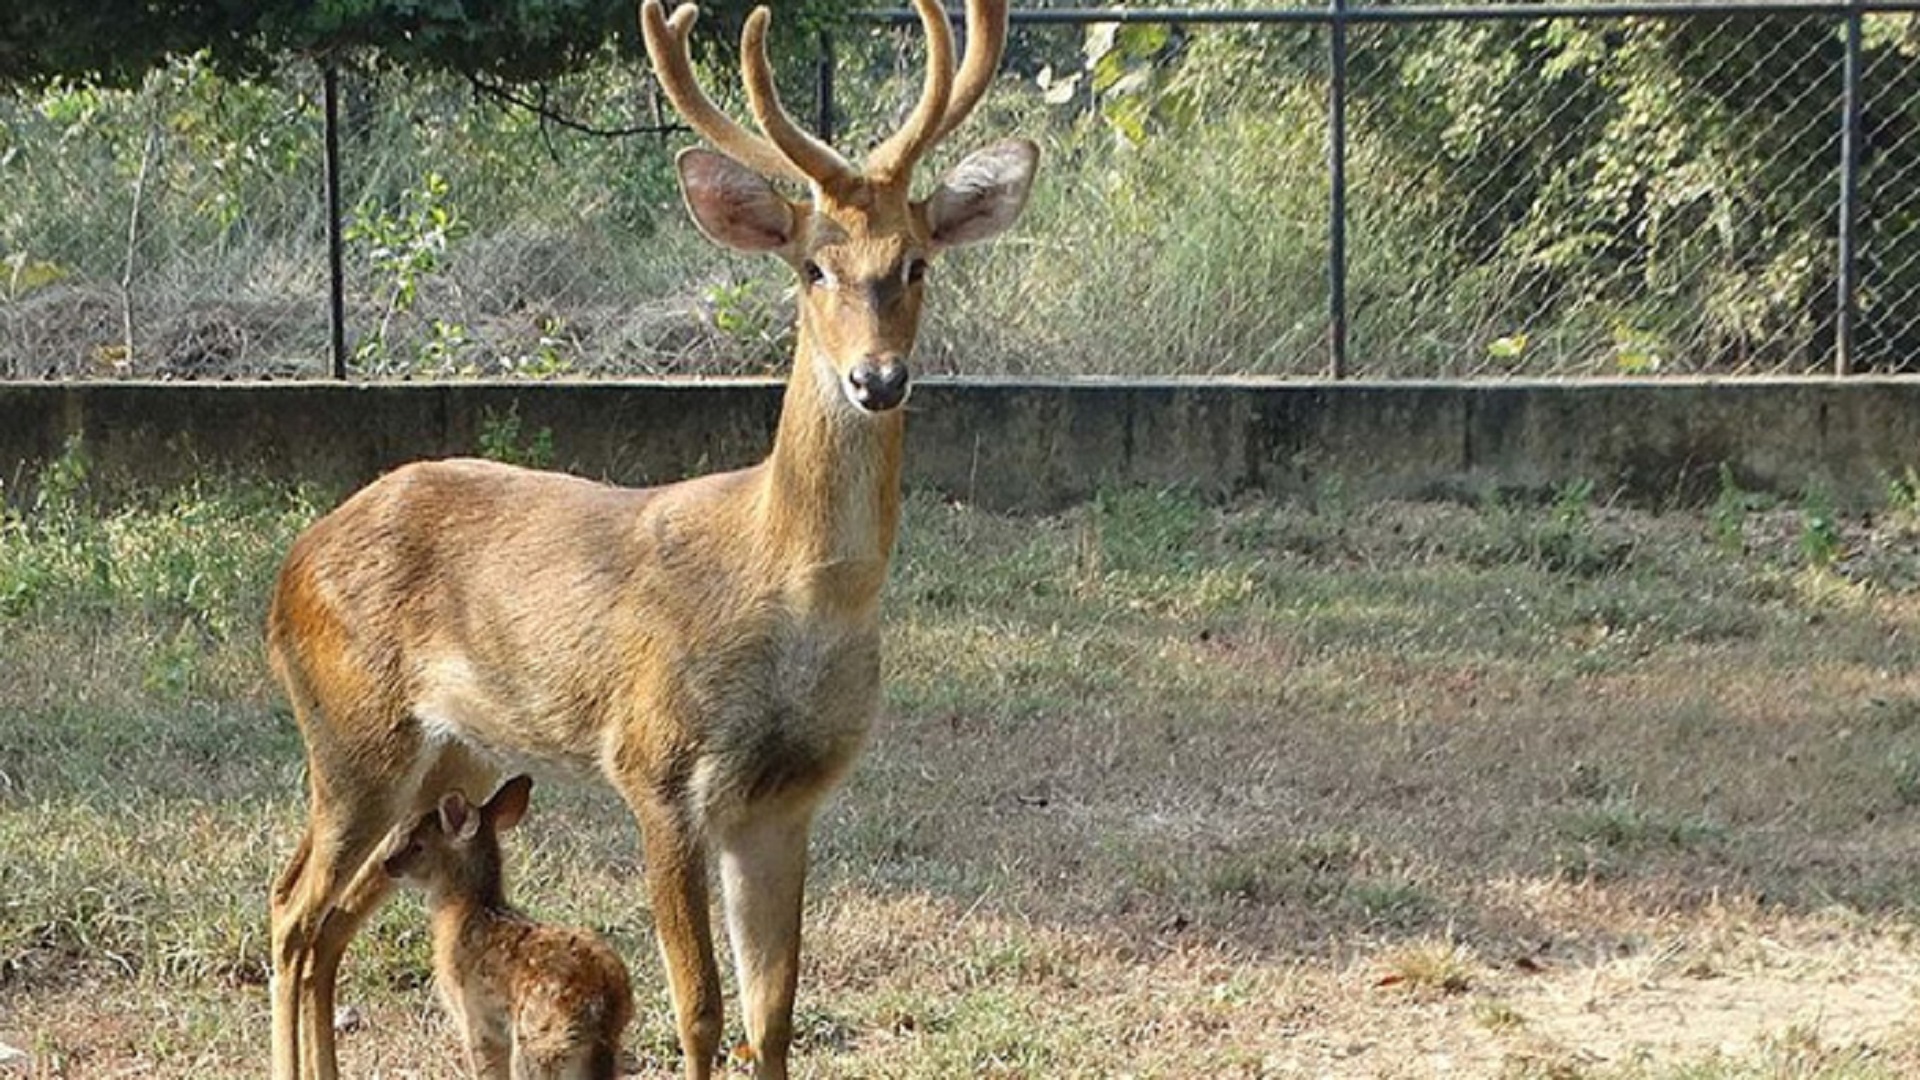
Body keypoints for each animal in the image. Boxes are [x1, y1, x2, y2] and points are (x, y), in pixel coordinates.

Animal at [378, 772, 633, 1076]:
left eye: (417, 845)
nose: (388, 864)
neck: (464, 914)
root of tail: (605, 1006)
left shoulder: (477, 1018)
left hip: (537, 1043)